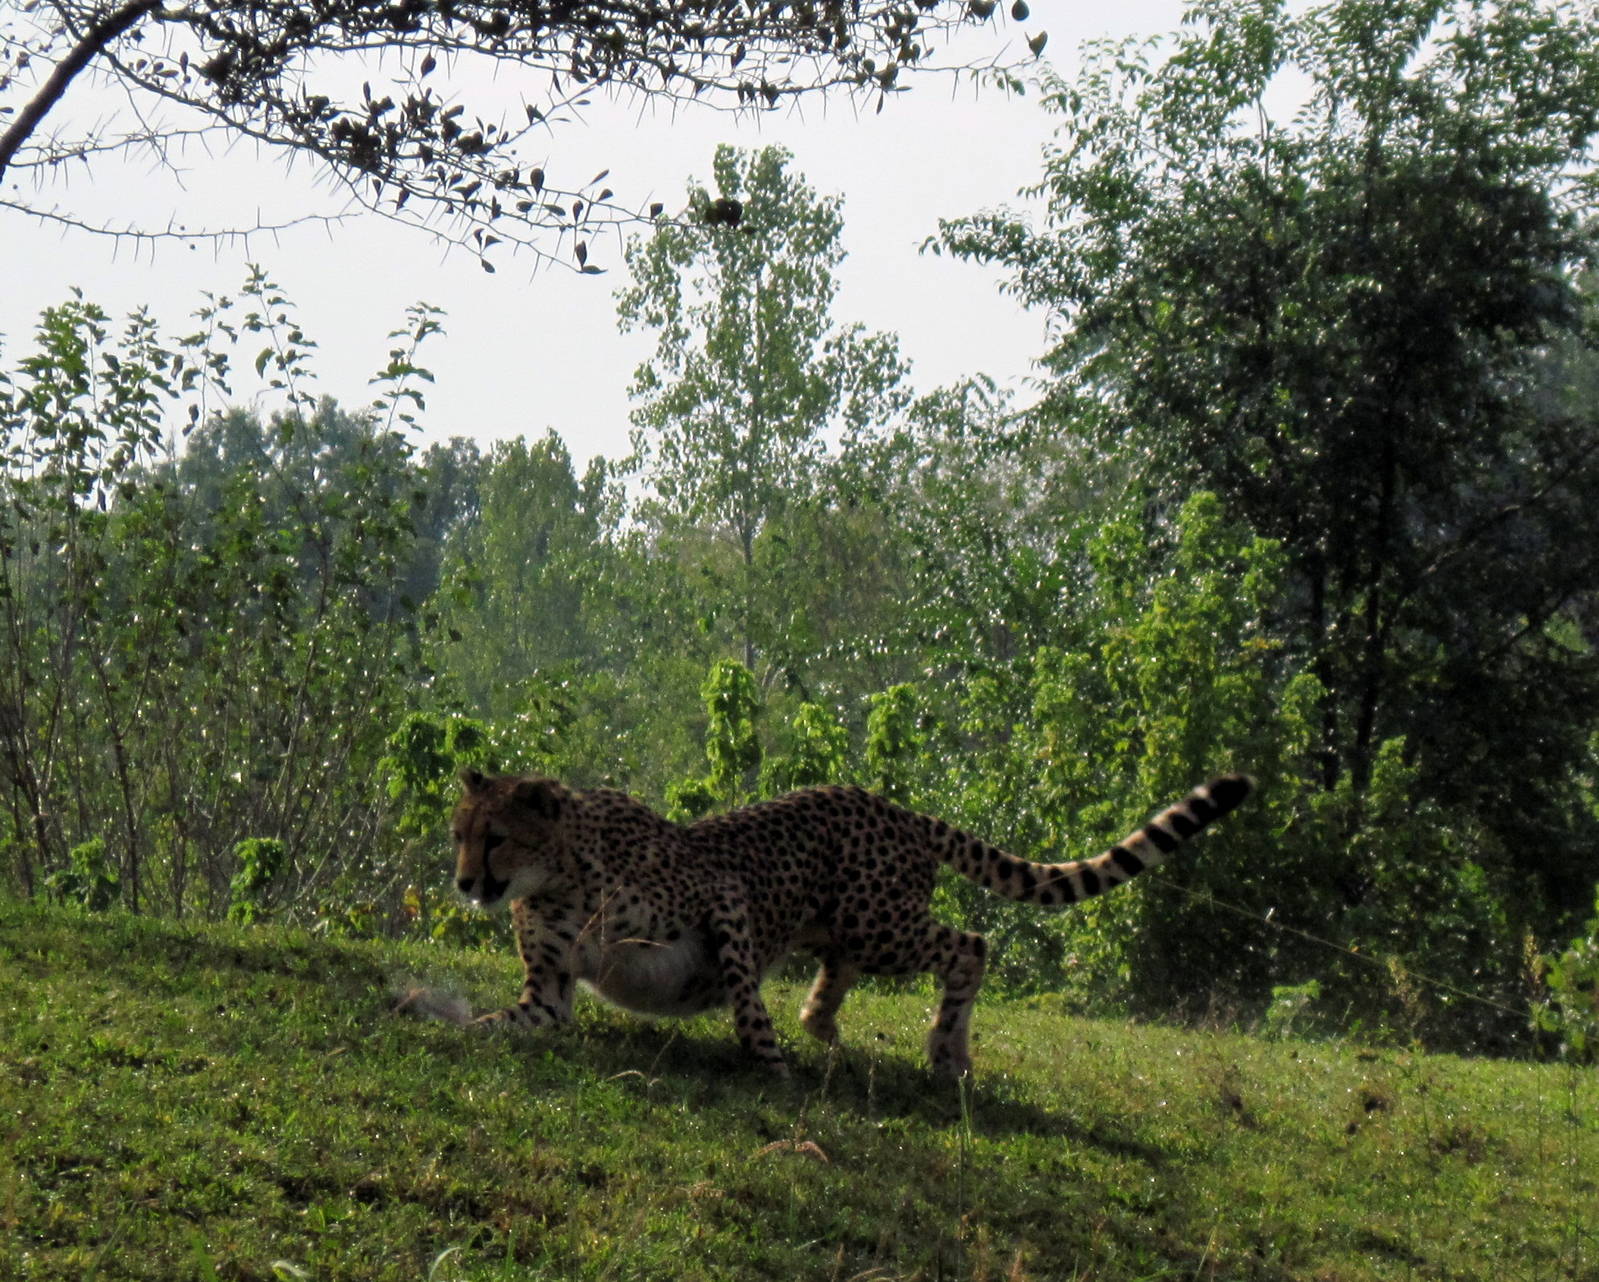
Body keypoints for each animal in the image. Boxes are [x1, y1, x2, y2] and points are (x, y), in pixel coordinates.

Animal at [451, 769, 1252, 1077]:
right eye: (458, 833)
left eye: (496, 838)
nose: (462, 882)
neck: (557, 876)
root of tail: (893, 806)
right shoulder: (550, 992)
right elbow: (506, 1020)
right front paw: (435, 1028)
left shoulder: (723, 896)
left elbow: (744, 994)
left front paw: (770, 1068)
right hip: (848, 927)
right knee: (842, 970)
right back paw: (825, 1023)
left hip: (881, 924)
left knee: (970, 944)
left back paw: (946, 1053)